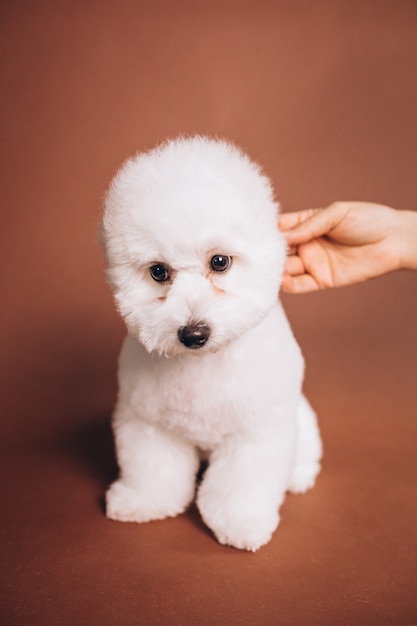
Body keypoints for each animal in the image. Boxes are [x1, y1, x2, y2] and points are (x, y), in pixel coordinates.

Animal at [101, 136, 322, 552]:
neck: (202, 362)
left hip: (299, 419)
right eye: (158, 272)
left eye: (220, 262)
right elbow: (153, 469)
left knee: (305, 449)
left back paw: (299, 476)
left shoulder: (256, 432)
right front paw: (144, 501)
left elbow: (242, 483)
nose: (193, 334)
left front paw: (242, 522)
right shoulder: (148, 423)